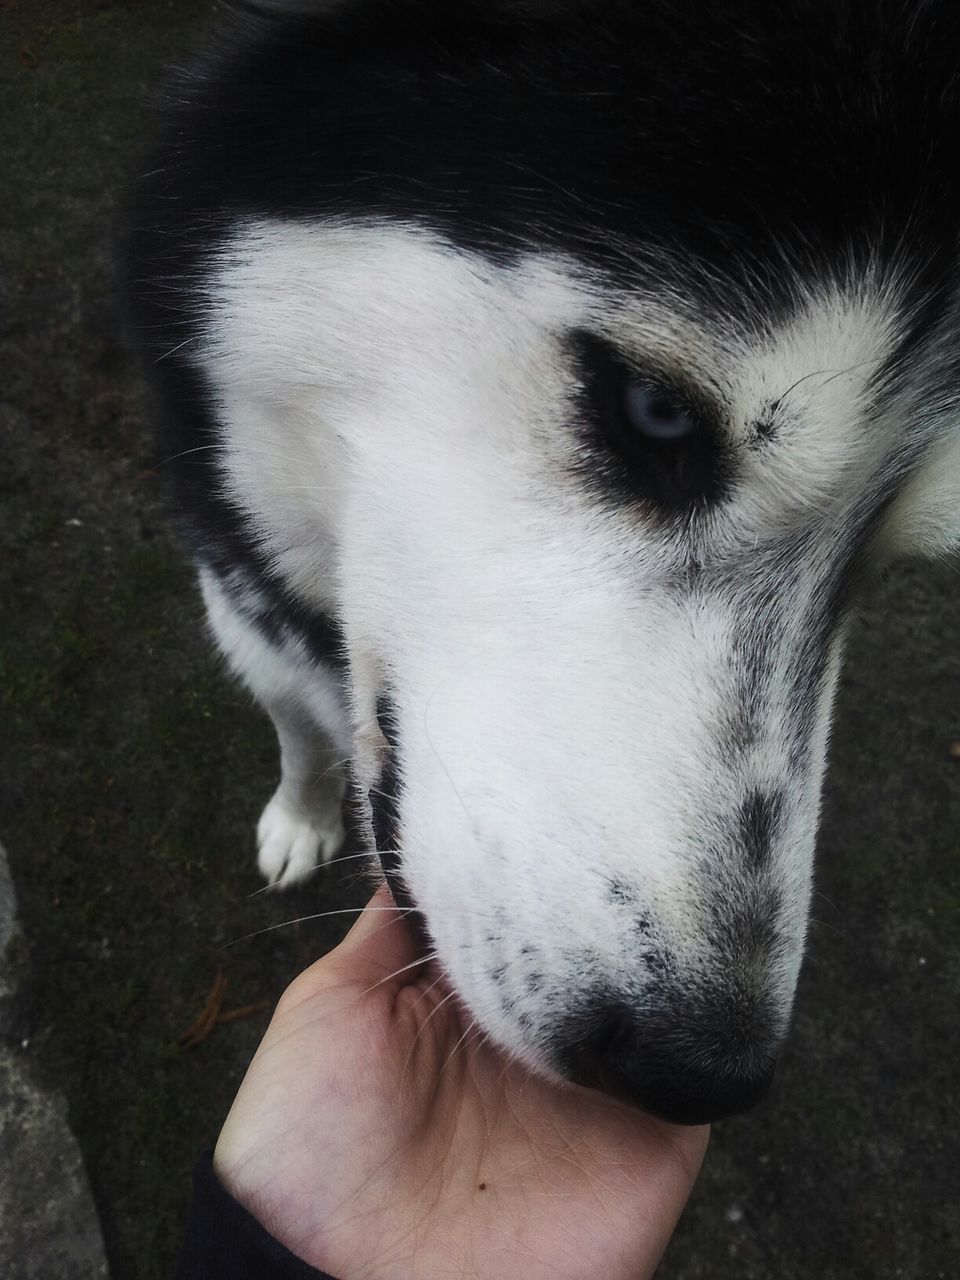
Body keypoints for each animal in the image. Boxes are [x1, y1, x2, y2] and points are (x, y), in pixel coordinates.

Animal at [126, 0, 960, 1121]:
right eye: (656, 414)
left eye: (887, 553)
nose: (698, 1076)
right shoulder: (244, 606)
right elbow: (295, 730)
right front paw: (300, 813)